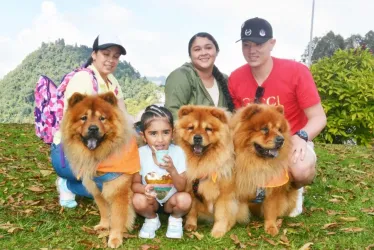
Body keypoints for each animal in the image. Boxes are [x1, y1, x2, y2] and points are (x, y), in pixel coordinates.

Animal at [60, 93, 137, 249]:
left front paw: (115, 239)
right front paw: (103, 226)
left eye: (102, 118)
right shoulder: (97, 191)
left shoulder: (119, 193)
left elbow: (117, 219)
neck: (99, 157)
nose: (93, 128)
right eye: (84, 118)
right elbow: (104, 211)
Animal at [175, 105, 240, 238]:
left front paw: (218, 231)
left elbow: (222, 214)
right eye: (191, 128)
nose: (197, 137)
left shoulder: (224, 194)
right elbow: (192, 211)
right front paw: (190, 225)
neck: (202, 163)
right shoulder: (191, 190)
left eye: (208, 129)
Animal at [231, 104, 298, 236]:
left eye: (279, 130)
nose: (281, 139)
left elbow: (270, 211)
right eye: (265, 129)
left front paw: (271, 227)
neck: (256, 163)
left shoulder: (272, 191)